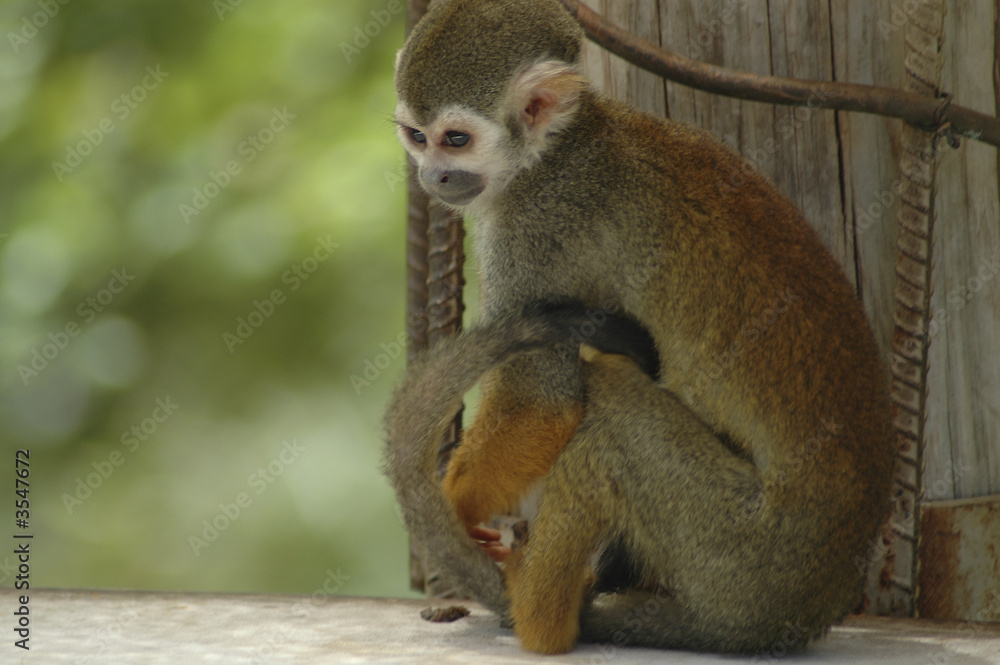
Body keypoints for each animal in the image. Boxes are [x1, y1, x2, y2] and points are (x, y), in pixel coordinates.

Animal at [388, 0, 894, 655]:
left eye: (456, 139)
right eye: (415, 136)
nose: (433, 177)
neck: (557, 149)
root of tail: (795, 617)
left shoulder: (534, 232)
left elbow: (540, 406)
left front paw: (456, 512)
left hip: (735, 548)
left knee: (610, 409)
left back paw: (540, 618)